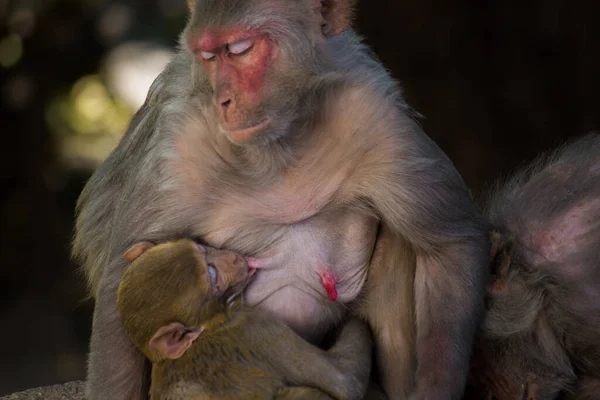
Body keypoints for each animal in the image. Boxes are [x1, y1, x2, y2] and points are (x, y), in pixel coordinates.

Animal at [116, 239, 376, 398]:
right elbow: (345, 380)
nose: (233, 258)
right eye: (212, 275)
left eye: (202, 248)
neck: (207, 329)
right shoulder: (254, 328)